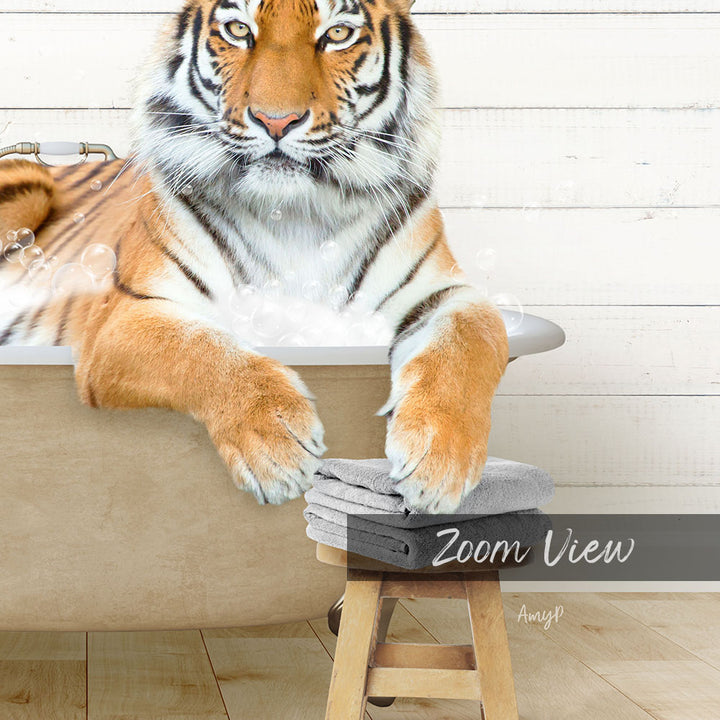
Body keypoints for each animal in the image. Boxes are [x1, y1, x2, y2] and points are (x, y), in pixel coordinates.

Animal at [0, 0, 508, 513]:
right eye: (238, 29)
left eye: (337, 34)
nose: (276, 121)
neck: (296, 215)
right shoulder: (124, 317)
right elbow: (203, 350)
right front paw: (277, 447)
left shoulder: (445, 292)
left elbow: (471, 339)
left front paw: (438, 463)